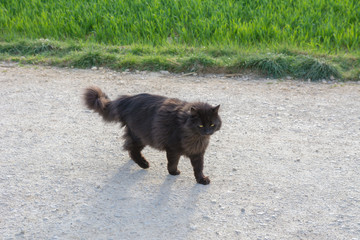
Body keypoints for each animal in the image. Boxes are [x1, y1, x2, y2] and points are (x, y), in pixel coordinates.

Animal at [83, 86, 221, 186]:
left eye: (212, 124)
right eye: (201, 125)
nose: (208, 131)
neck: (196, 137)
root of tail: (127, 100)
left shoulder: (198, 152)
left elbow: (199, 167)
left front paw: (201, 179)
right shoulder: (172, 149)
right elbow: (173, 162)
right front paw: (173, 172)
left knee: (129, 148)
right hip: (140, 137)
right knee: (131, 149)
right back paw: (144, 164)